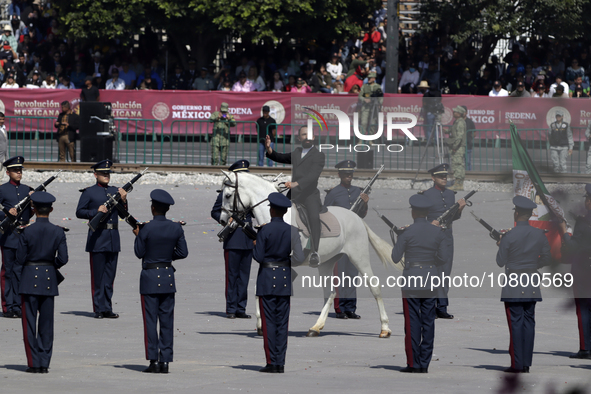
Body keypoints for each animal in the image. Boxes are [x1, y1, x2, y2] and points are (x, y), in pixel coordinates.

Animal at [220, 171, 404, 338]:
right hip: (326, 263)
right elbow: (259, 289)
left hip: (359, 258)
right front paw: (260, 325)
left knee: (375, 287)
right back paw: (316, 327)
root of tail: (356, 217)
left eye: (228, 195)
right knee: (330, 293)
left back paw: (385, 328)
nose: (222, 220)